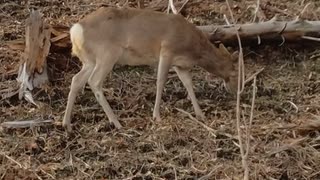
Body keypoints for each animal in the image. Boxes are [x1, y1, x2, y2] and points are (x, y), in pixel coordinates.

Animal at [62, 6, 240, 132]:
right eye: (235, 73)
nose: (237, 91)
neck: (194, 49)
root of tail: (75, 31)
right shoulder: (167, 50)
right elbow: (160, 81)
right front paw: (157, 116)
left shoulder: (180, 65)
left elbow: (188, 84)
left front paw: (200, 114)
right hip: (107, 54)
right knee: (94, 81)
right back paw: (117, 122)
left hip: (89, 60)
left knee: (76, 80)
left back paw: (66, 124)